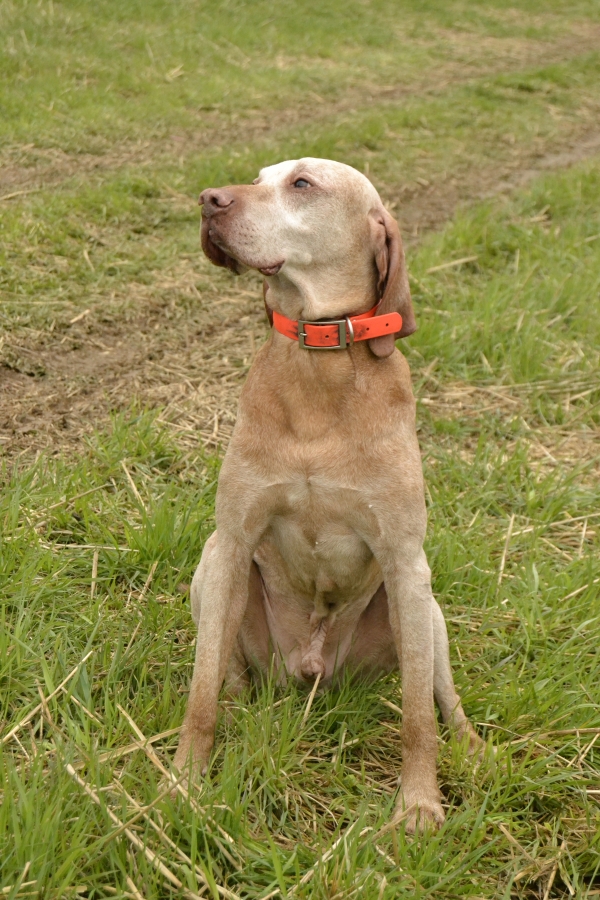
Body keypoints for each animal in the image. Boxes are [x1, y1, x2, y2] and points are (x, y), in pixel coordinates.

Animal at [172, 158, 482, 832]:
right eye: (259, 175)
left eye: (302, 184)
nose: (208, 200)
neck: (319, 363)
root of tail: (311, 665)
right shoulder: (233, 541)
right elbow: (200, 694)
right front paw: (182, 783)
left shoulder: (406, 562)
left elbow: (417, 718)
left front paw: (419, 804)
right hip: (212, 571)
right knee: (227, 676)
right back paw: (241, 709)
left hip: (427, 610)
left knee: (443, 698)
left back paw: (475, 747)